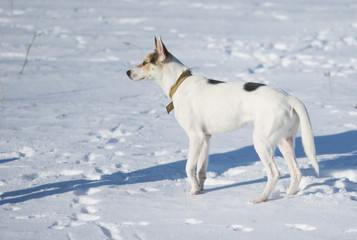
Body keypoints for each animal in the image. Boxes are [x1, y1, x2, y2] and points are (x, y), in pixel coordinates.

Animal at [126, 36, 318, 203]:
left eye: (145, 62)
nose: (127, 72)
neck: (179, 82)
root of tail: (289, 97)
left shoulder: (195, 137)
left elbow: (189, 167)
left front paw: (194, 190)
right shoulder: (205, 138)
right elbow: (201, 170)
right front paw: (199, 189)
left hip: (262, 141)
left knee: (274, 173)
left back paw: (261, 198)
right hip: (285, 141)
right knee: (296, 173)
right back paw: (289, 195)